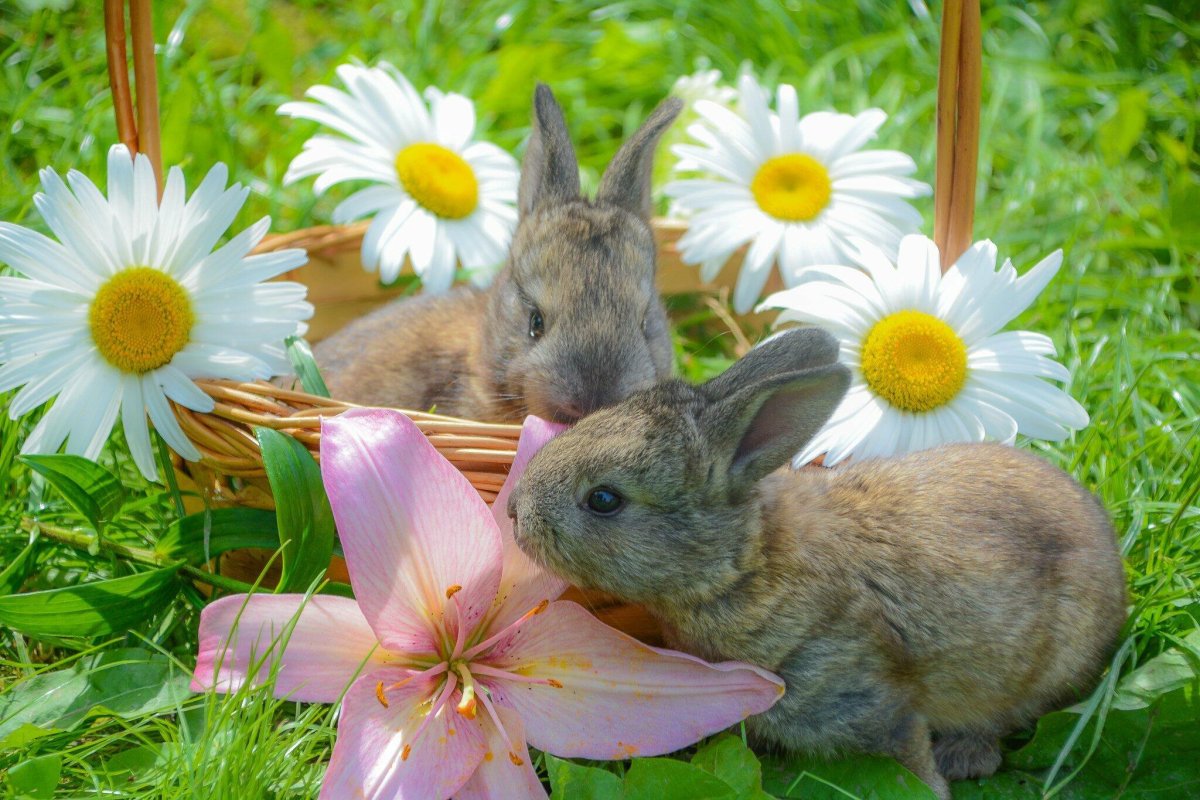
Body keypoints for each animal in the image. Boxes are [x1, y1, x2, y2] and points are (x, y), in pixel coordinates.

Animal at [511, 326, 1128, 800]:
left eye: (604, 499)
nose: (516, 511)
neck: (745, 563)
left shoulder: (874, 702)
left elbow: (907, 752)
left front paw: (932, 789)